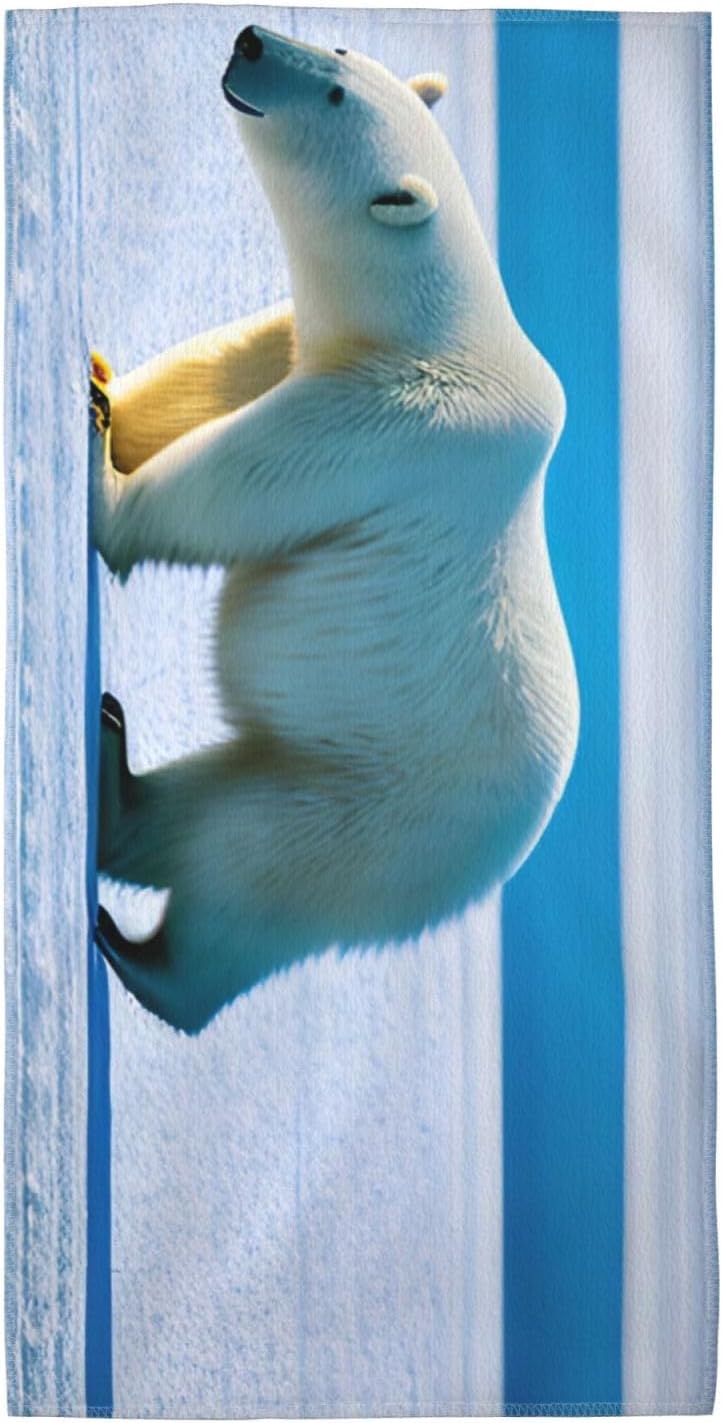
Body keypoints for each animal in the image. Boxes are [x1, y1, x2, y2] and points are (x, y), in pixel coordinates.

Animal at [91, 24, 580, 1034]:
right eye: (342, 49)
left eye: (335, 97)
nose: (250, 38)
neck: (433, 326)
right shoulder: (294, 341)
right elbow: (205, 376)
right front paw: (105, 383)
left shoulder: (403, 422)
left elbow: (244, 481)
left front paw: (100, 474)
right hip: (325, 768)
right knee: (213, 799)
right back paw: (116, 764)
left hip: (378, 818)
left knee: (244, 866)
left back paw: (145, 960)